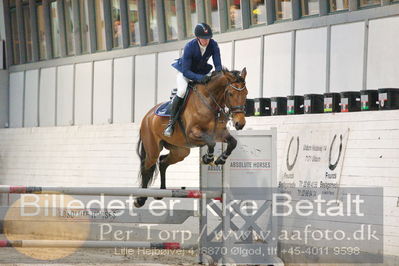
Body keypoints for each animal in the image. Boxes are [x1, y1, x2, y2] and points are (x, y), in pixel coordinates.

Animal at [136, 67, 248, 207]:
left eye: (246, 94)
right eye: (231, 94)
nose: (240, 124)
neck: (210, 102)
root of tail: (147, 116)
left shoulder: (219, 133)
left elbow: (233, 142)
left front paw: (220, 160)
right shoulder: (193, 133)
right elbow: (211, 143)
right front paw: (207, 158)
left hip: (180, 151)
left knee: (162, 162)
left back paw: (161, 192)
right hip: (153, 150)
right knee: (146, 167)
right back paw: (140, 199)